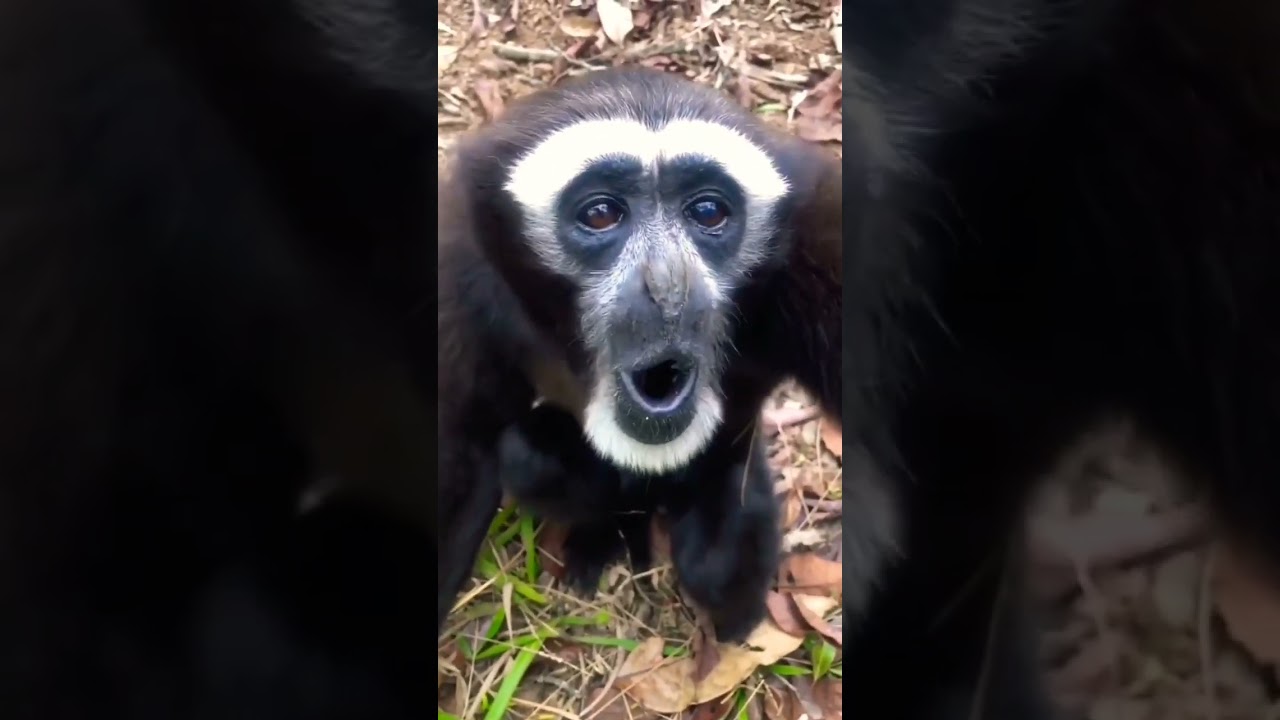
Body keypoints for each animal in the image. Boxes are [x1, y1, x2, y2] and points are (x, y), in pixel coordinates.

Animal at [436, 67, 843, 644]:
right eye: (602, 214)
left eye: (708, 212)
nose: (668, 286)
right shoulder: (461, 259)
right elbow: (463, 456)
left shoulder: (816, 230)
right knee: (528, 455)